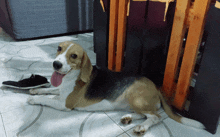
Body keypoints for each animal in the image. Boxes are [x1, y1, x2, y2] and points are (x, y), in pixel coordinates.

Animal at [27, 41, 205, 135]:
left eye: (74, 56)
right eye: (59, 48)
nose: (56, 64)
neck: (72, 76)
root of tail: (156, 86)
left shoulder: (65, 104)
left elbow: (46, 99)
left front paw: (33, 99)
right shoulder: (61, 92)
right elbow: (49, 90)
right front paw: (36, 90)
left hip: (135, 97)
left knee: (156, 117)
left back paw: (141, 127)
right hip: (135, 103)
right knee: (145, 114)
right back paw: (128, 118)